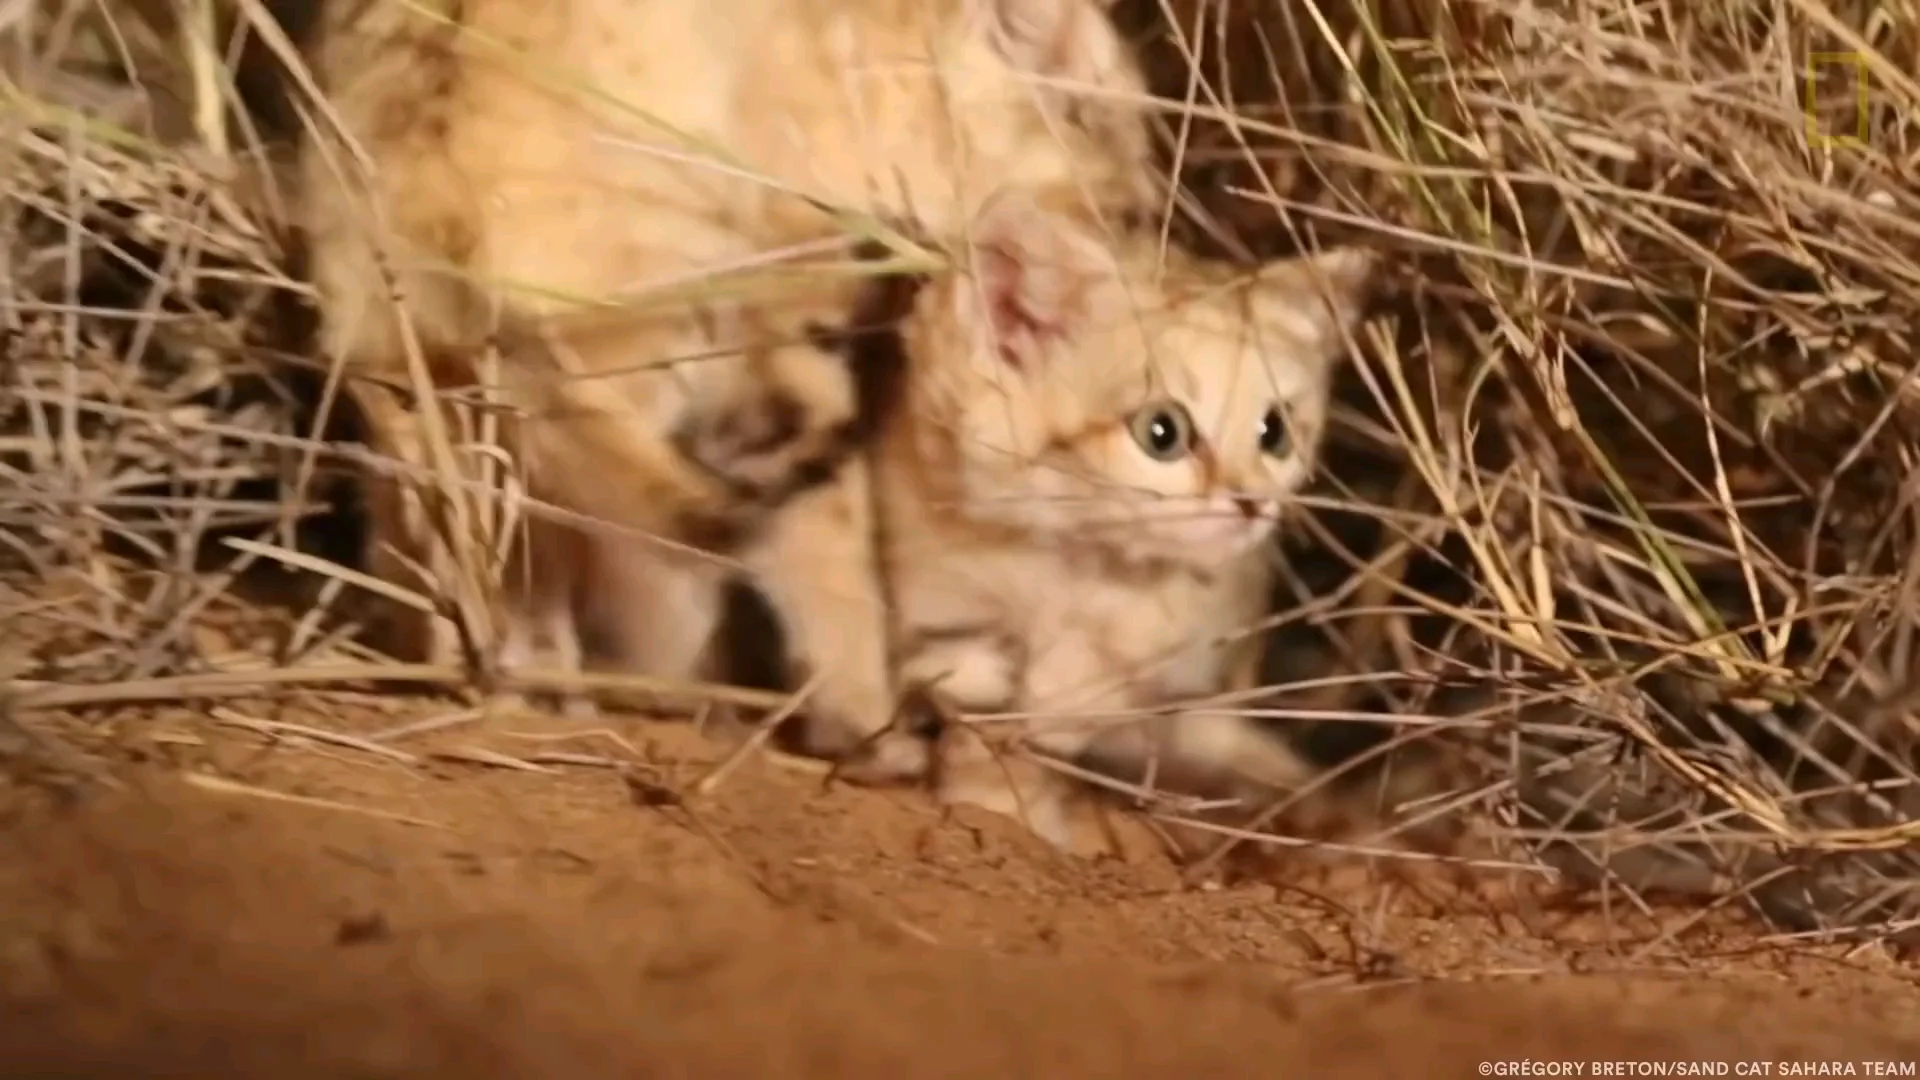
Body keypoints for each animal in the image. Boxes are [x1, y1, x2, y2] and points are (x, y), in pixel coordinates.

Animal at [299, 0, 1159, 764]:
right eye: (1127, 210)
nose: (1143, 245)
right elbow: (831, 560)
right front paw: (868, 722)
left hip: (419, 384)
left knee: (480, 562)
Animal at [864, 193, 1374, 849]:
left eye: (1275, 432)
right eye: (1161, 432)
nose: (1250, 503)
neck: (1071, 568)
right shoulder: (945, 615)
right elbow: (979, 717)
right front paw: (987, 801)